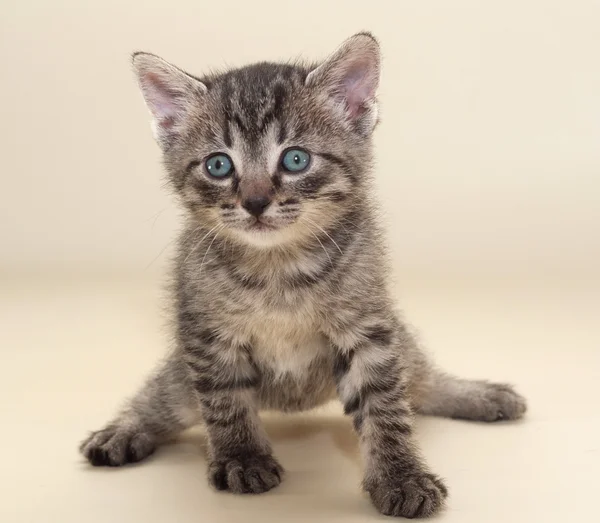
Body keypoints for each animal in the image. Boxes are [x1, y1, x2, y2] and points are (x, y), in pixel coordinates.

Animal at [79, 33, 524, 520]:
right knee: (161, 398)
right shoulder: (205, 335)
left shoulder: (368, 328)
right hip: (181, 379)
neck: (278, 268)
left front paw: (400, 475)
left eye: (295, 159)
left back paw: (480, 396)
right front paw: (242, 458)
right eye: (218, 165)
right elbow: (225, 403)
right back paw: (124, 430)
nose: (255, 202)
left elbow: (386, 406)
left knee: (421, 381)